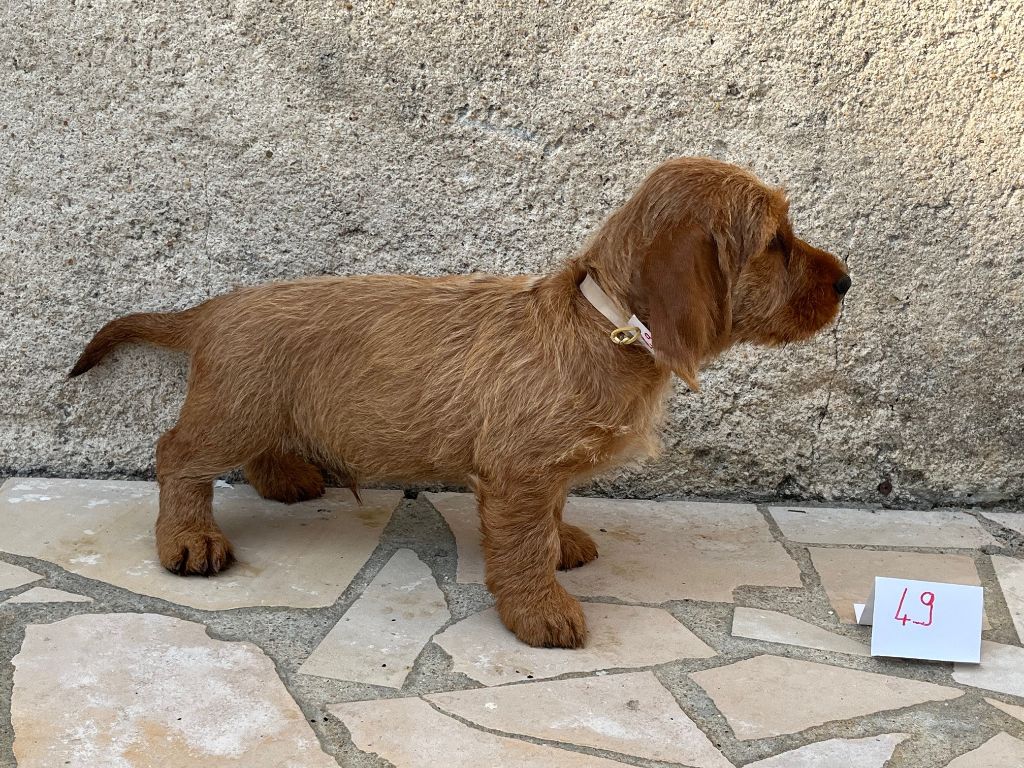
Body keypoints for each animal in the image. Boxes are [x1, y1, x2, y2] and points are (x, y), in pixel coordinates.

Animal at [70, 157, 847, 651]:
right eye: (775, 243)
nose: (845, 282)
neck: (602, 325)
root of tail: (213, 309)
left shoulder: (541, 473)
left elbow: (549, 517)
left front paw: (562, 544)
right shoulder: (519, 472)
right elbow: (523, 544)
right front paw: (540, 610)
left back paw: (286, 478)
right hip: (232, 413)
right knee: (178, 456)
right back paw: (187, 538)